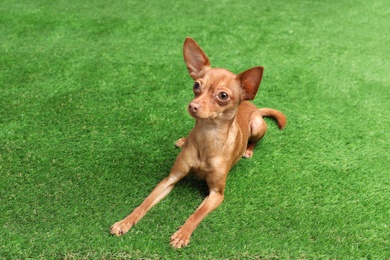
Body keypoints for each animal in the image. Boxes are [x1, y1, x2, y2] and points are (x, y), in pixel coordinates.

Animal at [110, 37, 286, 248]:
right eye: (196, 86)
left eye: (223, 96)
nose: (192, 106)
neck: (206, 137)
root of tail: (254, 106)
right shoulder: (170, 179)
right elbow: (144, 203)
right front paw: (125, 221)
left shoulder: (217, 194)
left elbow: (197, 214)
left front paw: (182, 234)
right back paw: (183, 140)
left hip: (257, 124)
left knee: (254, 139)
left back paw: (248, 150)